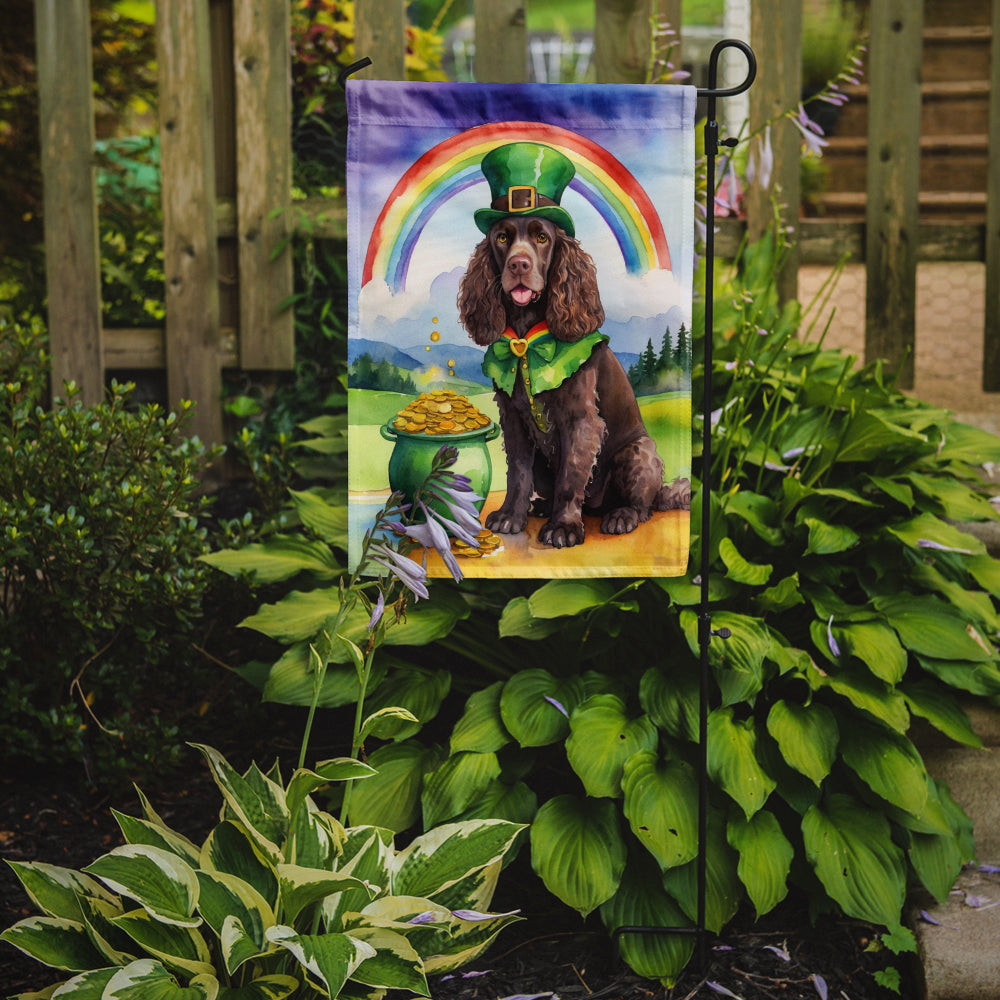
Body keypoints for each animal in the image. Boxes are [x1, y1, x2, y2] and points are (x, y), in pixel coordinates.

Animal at [458, 214, 688, 552]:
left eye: (542, 237)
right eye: (502, 238)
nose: (519, 265)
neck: (527, 340)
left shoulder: (581, 421)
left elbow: (570, 476)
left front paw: (563, 528)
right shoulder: (513, 419)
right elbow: (517, 473)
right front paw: (511, 516)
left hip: (639, 451)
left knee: (642, 506)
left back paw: (621, 516)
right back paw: (541, 506)